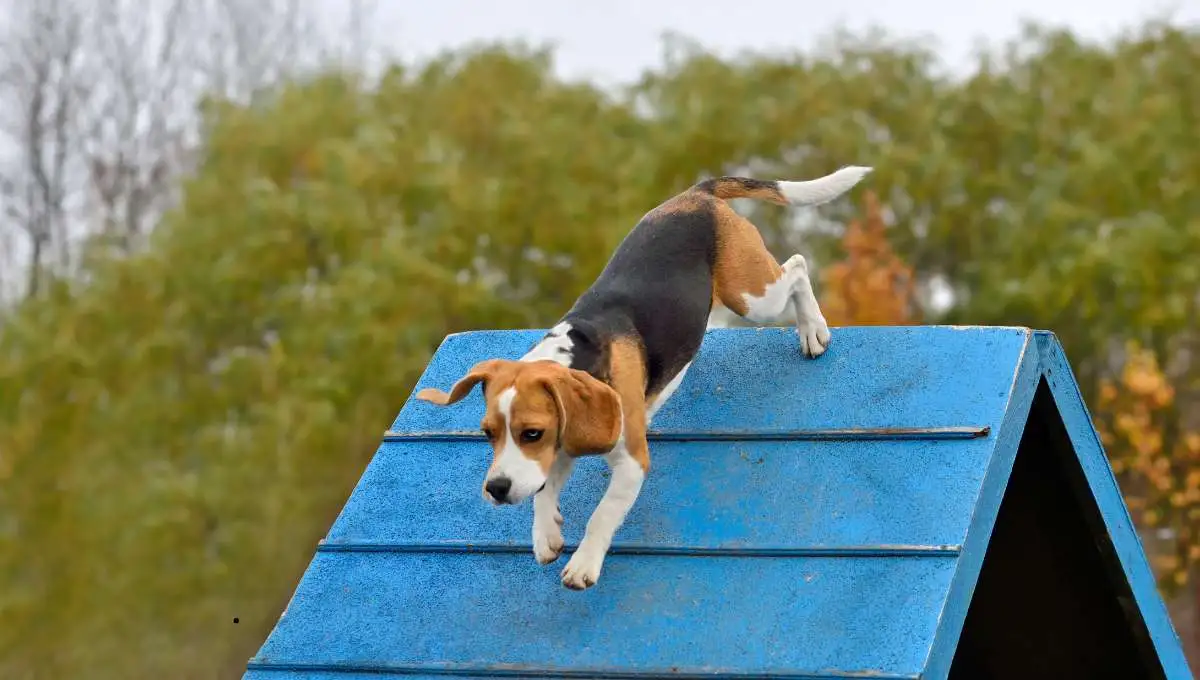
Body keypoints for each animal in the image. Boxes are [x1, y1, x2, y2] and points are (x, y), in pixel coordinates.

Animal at [417, 166, 868, 590]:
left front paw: (583, 564)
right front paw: (545, 535)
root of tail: (697, 193)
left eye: (531, 433)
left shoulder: (631, 461)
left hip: (752, 295)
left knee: (797, 267)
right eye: (488, 433)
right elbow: (544, 491)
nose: (495, 488)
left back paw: (813, 330)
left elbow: (601, 515)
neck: (577, 355)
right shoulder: (563, 444)